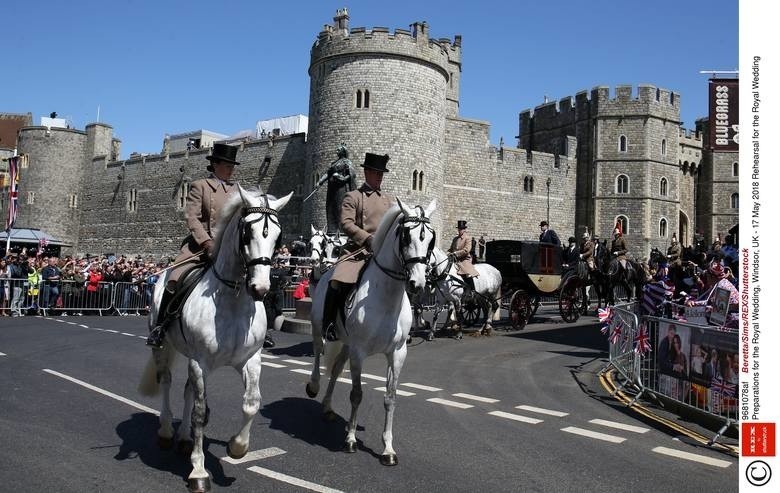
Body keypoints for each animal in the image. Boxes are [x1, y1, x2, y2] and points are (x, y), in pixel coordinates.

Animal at [137, 184, 292, 492]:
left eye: (278, 236)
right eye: (247, 231)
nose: (260, 288)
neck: (231, 300)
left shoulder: (250, 360)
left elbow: (251, 403)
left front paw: (237, 447)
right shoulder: (201, 363)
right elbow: (200, 413)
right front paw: (198, 471)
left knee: (186, 390)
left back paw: (185, 439)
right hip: (163, 347)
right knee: (167, 382)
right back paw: (166, 431)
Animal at [306, 197, 438, 466]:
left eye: (431, 238)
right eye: (406, 236)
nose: (418, 283)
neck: (386, 297)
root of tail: (326, 272)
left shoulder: (397, 353)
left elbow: (390, 397)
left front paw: (387, 448)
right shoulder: (359, 352)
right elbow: (357, 394)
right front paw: (350, 439)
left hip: (346, 344)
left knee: (336, 370)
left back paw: (327, 406)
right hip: (319, 327)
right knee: (317, 352)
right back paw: (314, 386)